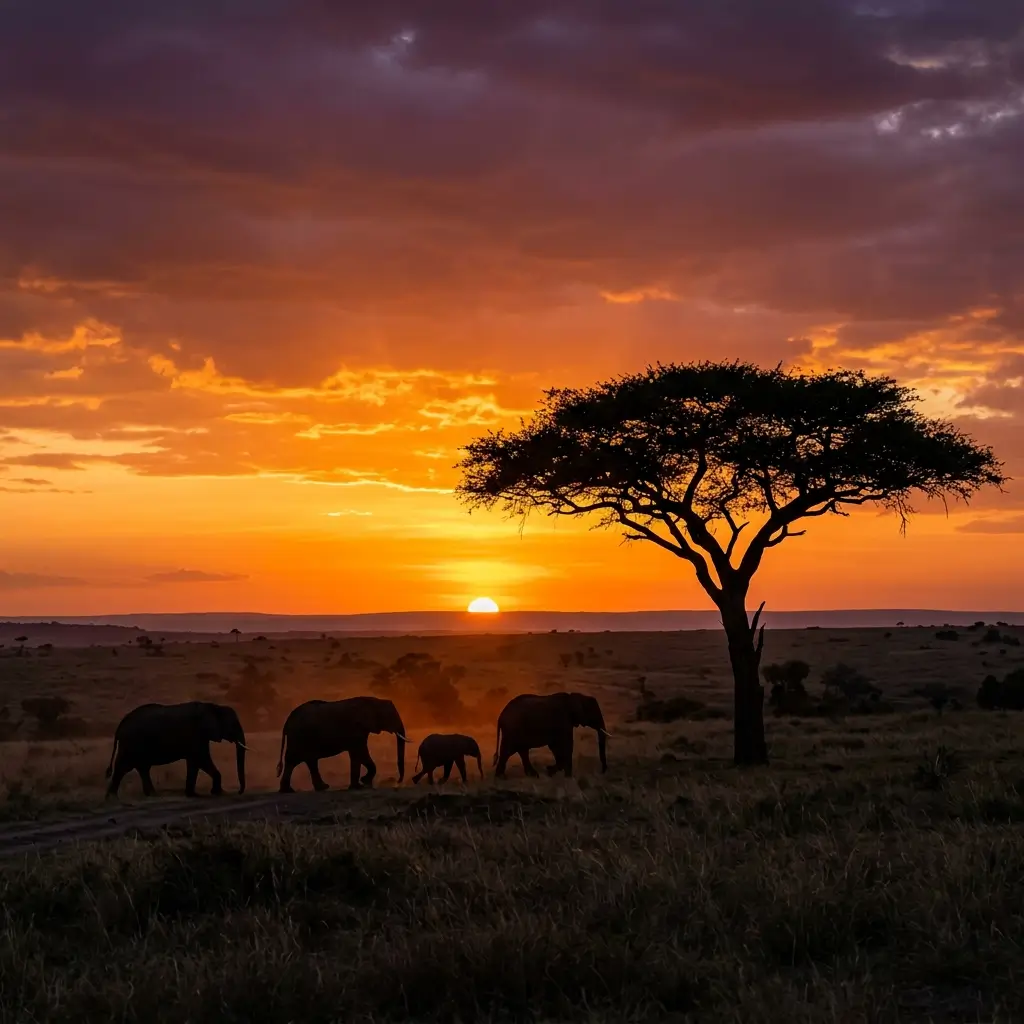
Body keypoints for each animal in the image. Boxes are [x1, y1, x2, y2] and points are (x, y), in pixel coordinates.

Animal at [105, 701, 247, 798]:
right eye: (233, 724)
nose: (238, 792)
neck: (214, 707)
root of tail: (121, 725)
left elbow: (197, 761)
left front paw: (205, 793)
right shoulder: (195, 733)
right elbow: (201, 759)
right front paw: (208, 794)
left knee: (142, 768)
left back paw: (152, 795)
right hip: (131, 743)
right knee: (123, 767)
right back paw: (112, 798)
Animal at [276, 695, 407, 793]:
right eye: (390, 716)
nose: (398, 782)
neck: (375, 701)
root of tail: (288, 720)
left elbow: (356, 754)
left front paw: (359, 785)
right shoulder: (356, 728)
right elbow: (360, 751)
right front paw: (362, 783)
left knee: (309, 761)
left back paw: (319, 788)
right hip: (299, 737)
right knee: (294, 760)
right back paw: (288, 791)